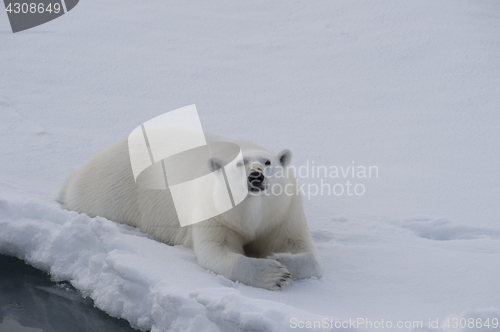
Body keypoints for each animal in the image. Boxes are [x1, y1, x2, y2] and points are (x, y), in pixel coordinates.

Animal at [60, 132, 322, 290]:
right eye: (239, 164)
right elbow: (215, 250)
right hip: (111, 190)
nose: (256, 176)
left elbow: (303, 250)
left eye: (268, 162)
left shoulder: (284, 212)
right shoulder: (214, 211)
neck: (252, 211)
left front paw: (278, 257)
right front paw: (274, 273)